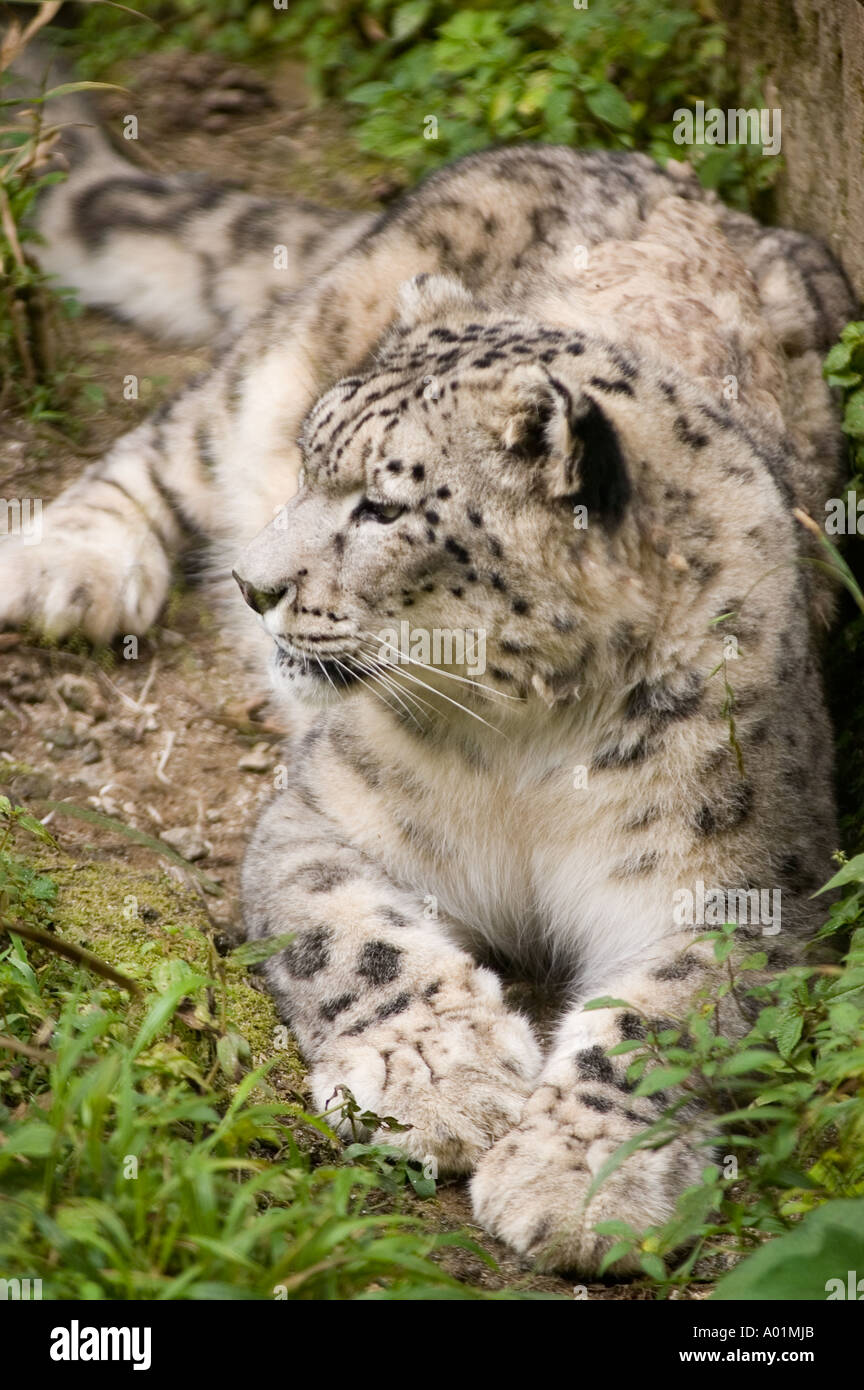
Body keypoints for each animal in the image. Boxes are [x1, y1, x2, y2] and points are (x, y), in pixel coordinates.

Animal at [1, 56, 861, 1273]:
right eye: (312, 464)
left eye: (381, 506)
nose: (255, 586)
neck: (529, 748)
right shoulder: (323, 813)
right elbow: (353, 939)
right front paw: (440, 1081)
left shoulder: (740, 881)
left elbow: (665, 1023)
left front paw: (577, 1180)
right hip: (273, 362)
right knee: (168, 435)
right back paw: (70, 566)